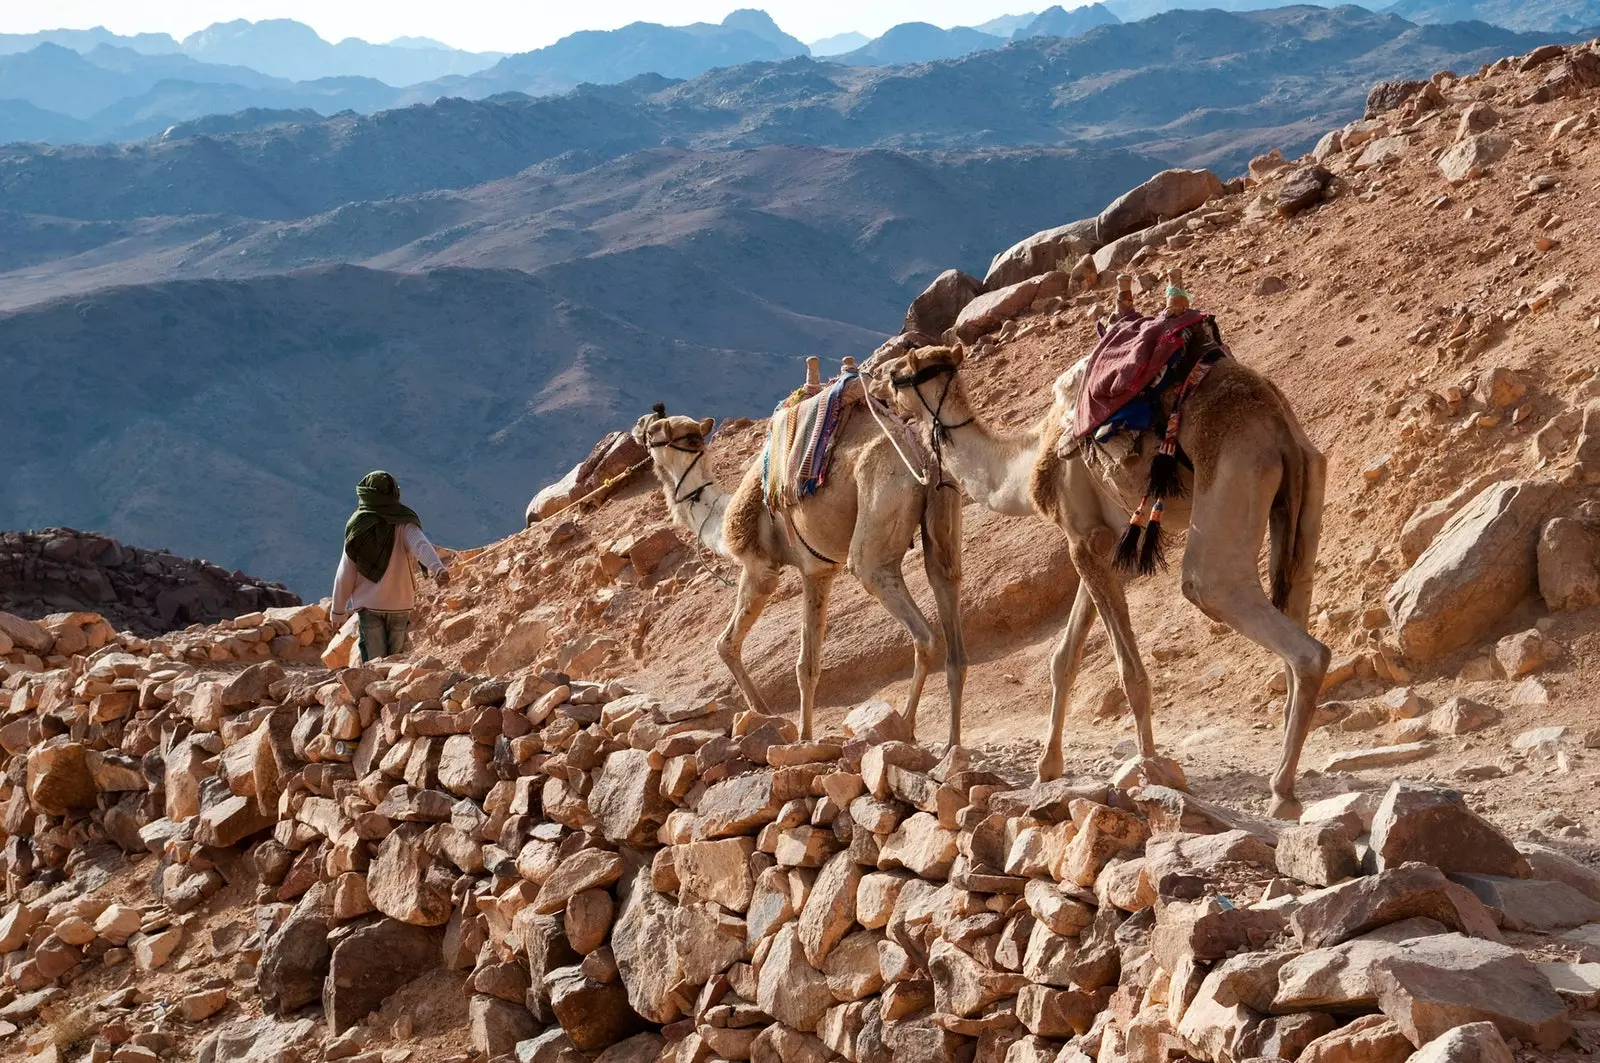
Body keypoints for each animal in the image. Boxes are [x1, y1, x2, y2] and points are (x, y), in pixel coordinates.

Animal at [630, 400, 966, 746]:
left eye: (653, 431)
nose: (637, 425)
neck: (720, 518)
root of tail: (924, 456)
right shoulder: (821, 571)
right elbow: (811, 664)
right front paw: (796, 729)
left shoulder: (764, 568)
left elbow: (732, 645)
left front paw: (784, 725)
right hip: (945, 509)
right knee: (947, 592)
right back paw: (952, 744)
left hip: (878, 511)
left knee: (919, 628)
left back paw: (906, 727)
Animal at [883, 281, 1331, 813]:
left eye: (903, 374)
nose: (883, 389)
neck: (1026, 463)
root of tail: (1278, 425)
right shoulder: (1099, 542)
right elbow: (1064, 659)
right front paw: (1048, 767)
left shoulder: (1082, 539)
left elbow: (1130, 673)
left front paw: (1150, 770)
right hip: (1305, 487)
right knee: (1297, 594)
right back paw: (1289, 777)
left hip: (1232, 479)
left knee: (1249, 612)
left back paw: (1281, 793)